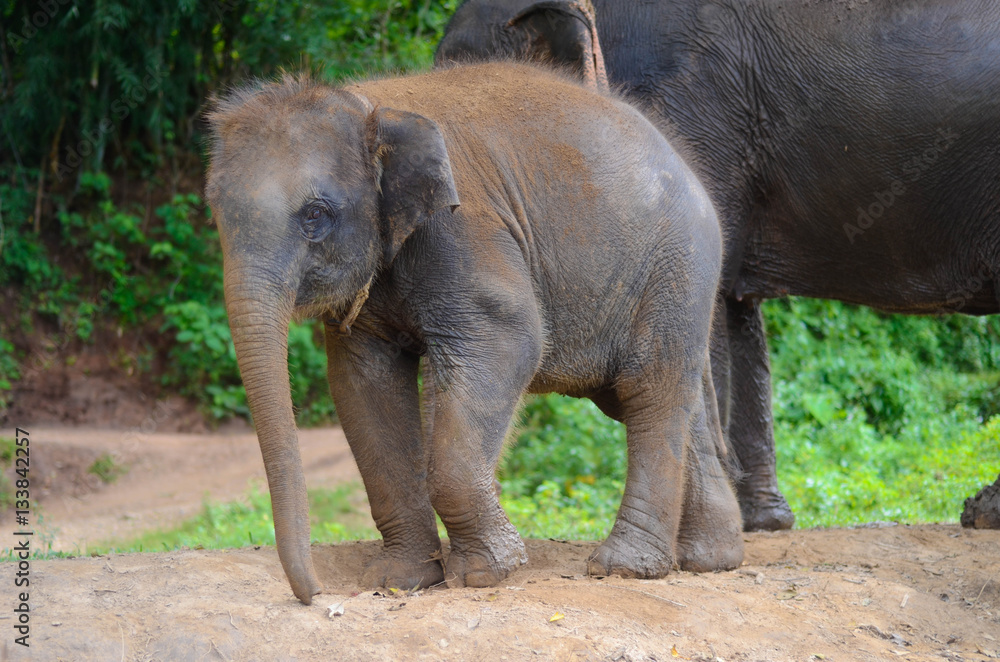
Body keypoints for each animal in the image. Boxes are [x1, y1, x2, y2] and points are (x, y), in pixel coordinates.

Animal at [205, 61, 745, 604]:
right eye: (216, 216)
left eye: (315, 214)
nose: (314, 593)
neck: (368, 106)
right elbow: (363, 384)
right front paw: (397, 580)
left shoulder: (466, 229)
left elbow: (511, 341)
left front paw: (486, 572)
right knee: (664, 396)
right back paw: (709, 559)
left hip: (676, 265)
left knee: (648, 388)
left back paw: (624, 568)